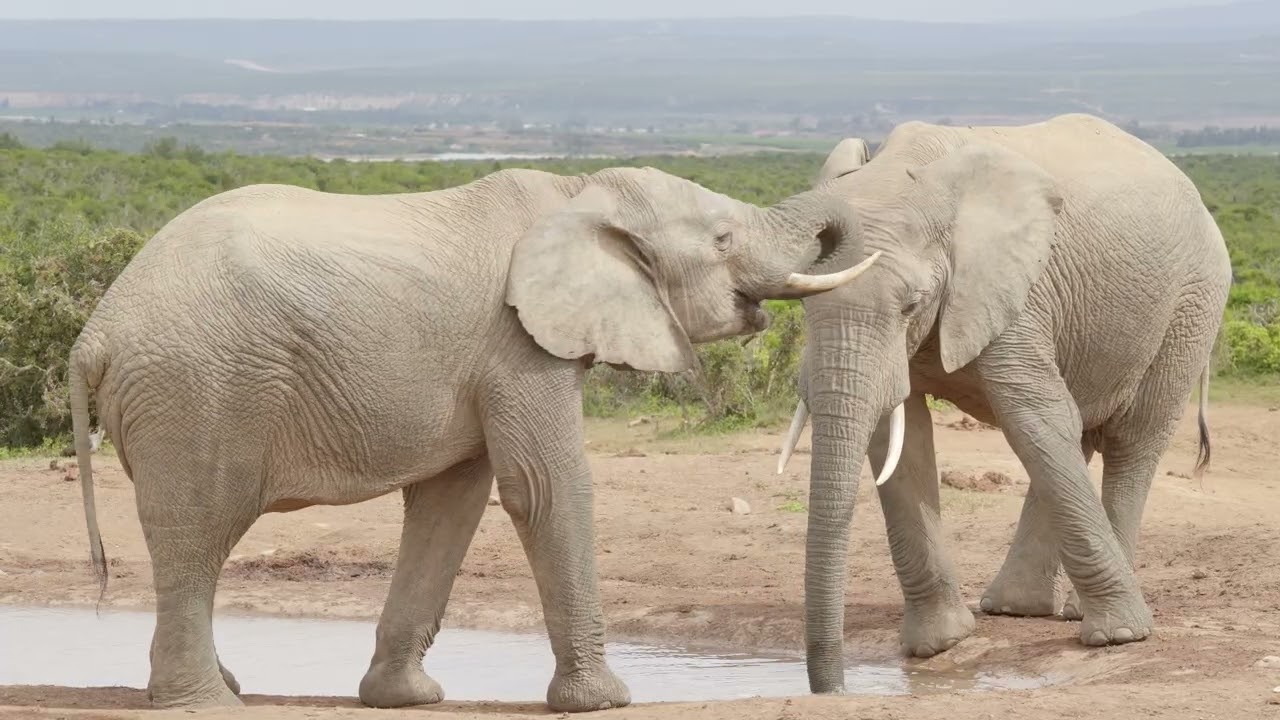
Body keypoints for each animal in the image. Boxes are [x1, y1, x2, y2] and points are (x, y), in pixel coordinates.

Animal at [68, 166, 881, 712]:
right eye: (723, 239)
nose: (832, 692)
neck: (577, 193)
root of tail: (93, 335)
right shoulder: (518, 342)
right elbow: (543, 487)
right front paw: (606, 700)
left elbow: (451, 502)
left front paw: (407, 697)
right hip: (198, 390)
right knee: (198, 534)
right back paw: (206, 701)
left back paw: (221, 687)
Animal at [774, 113, 1232, 693]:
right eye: (803, 303)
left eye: (910, 305)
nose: (832, 691)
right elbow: (901, 437)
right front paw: (940, 645)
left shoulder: (1015, 290)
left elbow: (1031, 413)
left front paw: (1119, 639)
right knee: (1074, 432)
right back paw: (1014, 609)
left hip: (1192, 303)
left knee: (1128, 440)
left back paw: (1095, 623)